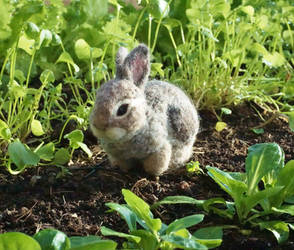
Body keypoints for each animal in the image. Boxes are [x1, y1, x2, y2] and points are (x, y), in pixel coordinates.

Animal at [90, 44, 200, 176]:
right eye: (97, 98)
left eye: (122, 109)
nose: (99, 125)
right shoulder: (120, 157)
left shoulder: (160, 150)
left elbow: (154, 167)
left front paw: (152, 176)